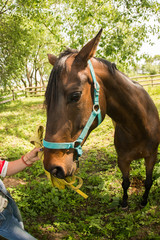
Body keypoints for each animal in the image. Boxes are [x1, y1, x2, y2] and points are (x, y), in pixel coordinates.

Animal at [43, 29, 160, 207]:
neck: (139, 127)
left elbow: (148, 181)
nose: (52, 167)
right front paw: (124, 202)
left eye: (75, 95)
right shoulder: (123, 159)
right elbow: (125, 182)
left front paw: (143, 201)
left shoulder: (152, 156)